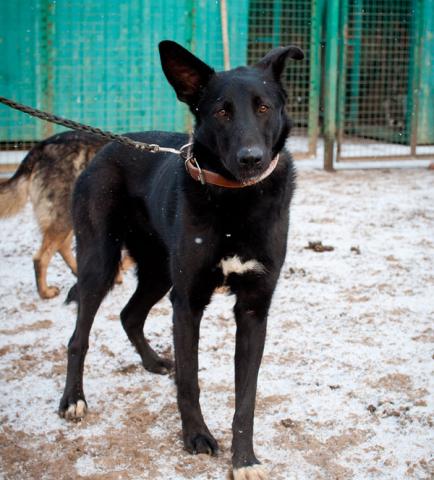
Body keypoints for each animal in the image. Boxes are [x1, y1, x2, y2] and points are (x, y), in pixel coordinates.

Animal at [59, 40, 303, 479]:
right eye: (222, 111)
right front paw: (197, 437)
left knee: (130, 314)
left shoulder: (254, 309)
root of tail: (107, 147)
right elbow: (190, 380)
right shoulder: (188, 302)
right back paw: (73, 399)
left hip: (159, 271)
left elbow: (247, 397)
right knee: (78, 337)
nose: (252, 159)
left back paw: (154, 362)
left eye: (263, 107)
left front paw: (244, 460)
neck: (236, 202)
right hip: (100, 263)